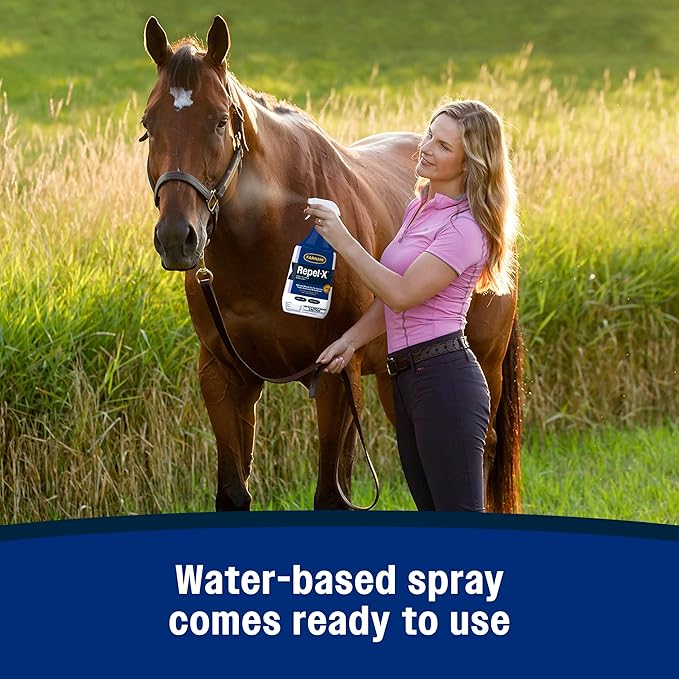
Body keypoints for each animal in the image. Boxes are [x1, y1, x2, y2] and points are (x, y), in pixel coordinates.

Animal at [142, 15, 523, 512]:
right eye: (148, 123)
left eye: (221, 121)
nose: (176, 237)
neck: (267, 241)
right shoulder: (223, 377)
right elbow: (233, 493)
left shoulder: (338, 375)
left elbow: (330, 493)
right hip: (393, 380)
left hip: (484, 360)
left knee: (481, 452)